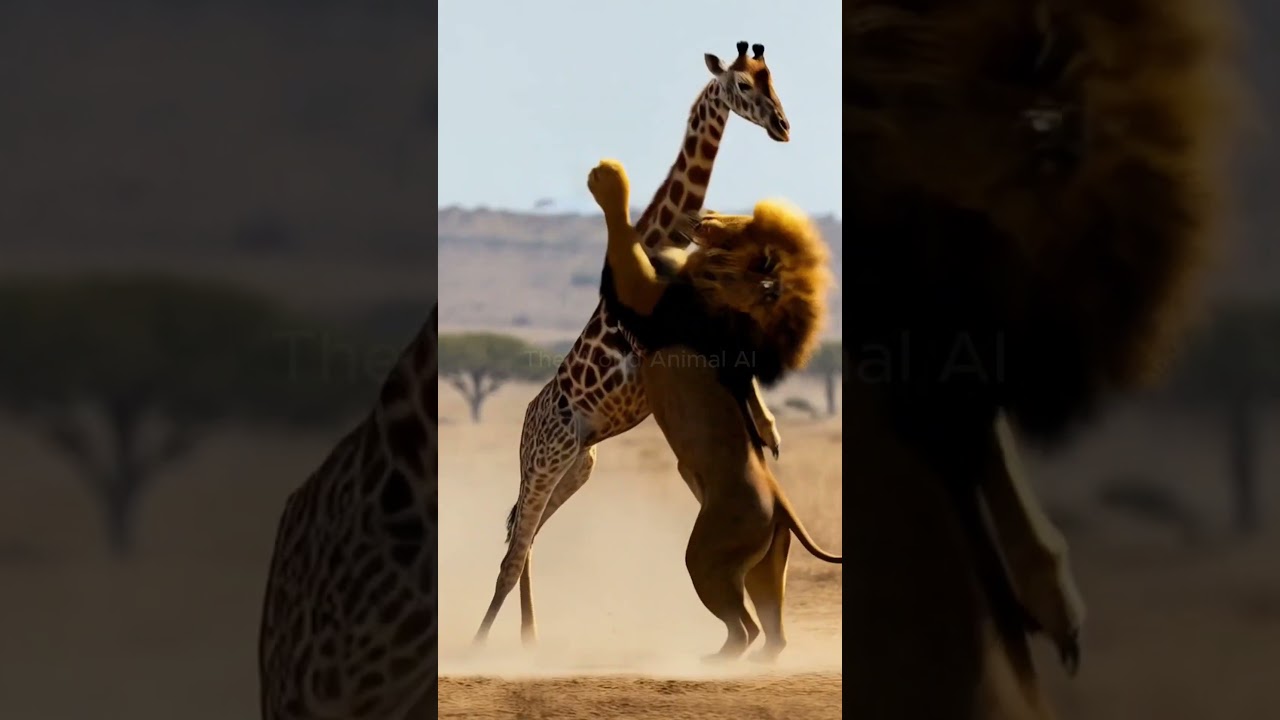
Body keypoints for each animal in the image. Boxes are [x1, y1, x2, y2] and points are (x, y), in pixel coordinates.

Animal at [473, 41, 791, 647]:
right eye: (742, 86)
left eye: (773, 81)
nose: (783, 126)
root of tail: (526, 423)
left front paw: (769, 433)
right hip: (546, 460)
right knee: (511, 552)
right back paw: (480, 645)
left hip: (577, 465)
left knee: (525, 541)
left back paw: (529, 639)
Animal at [587, 158, 840, 661]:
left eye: (736, 227)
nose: (702, 215)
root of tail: (780, 502)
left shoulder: (652, 306)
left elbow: (622, 247)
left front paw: (609, 179)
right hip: (764, 562)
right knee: (771, 631)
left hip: (706, 555)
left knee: (745, 628)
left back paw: (715, 660)